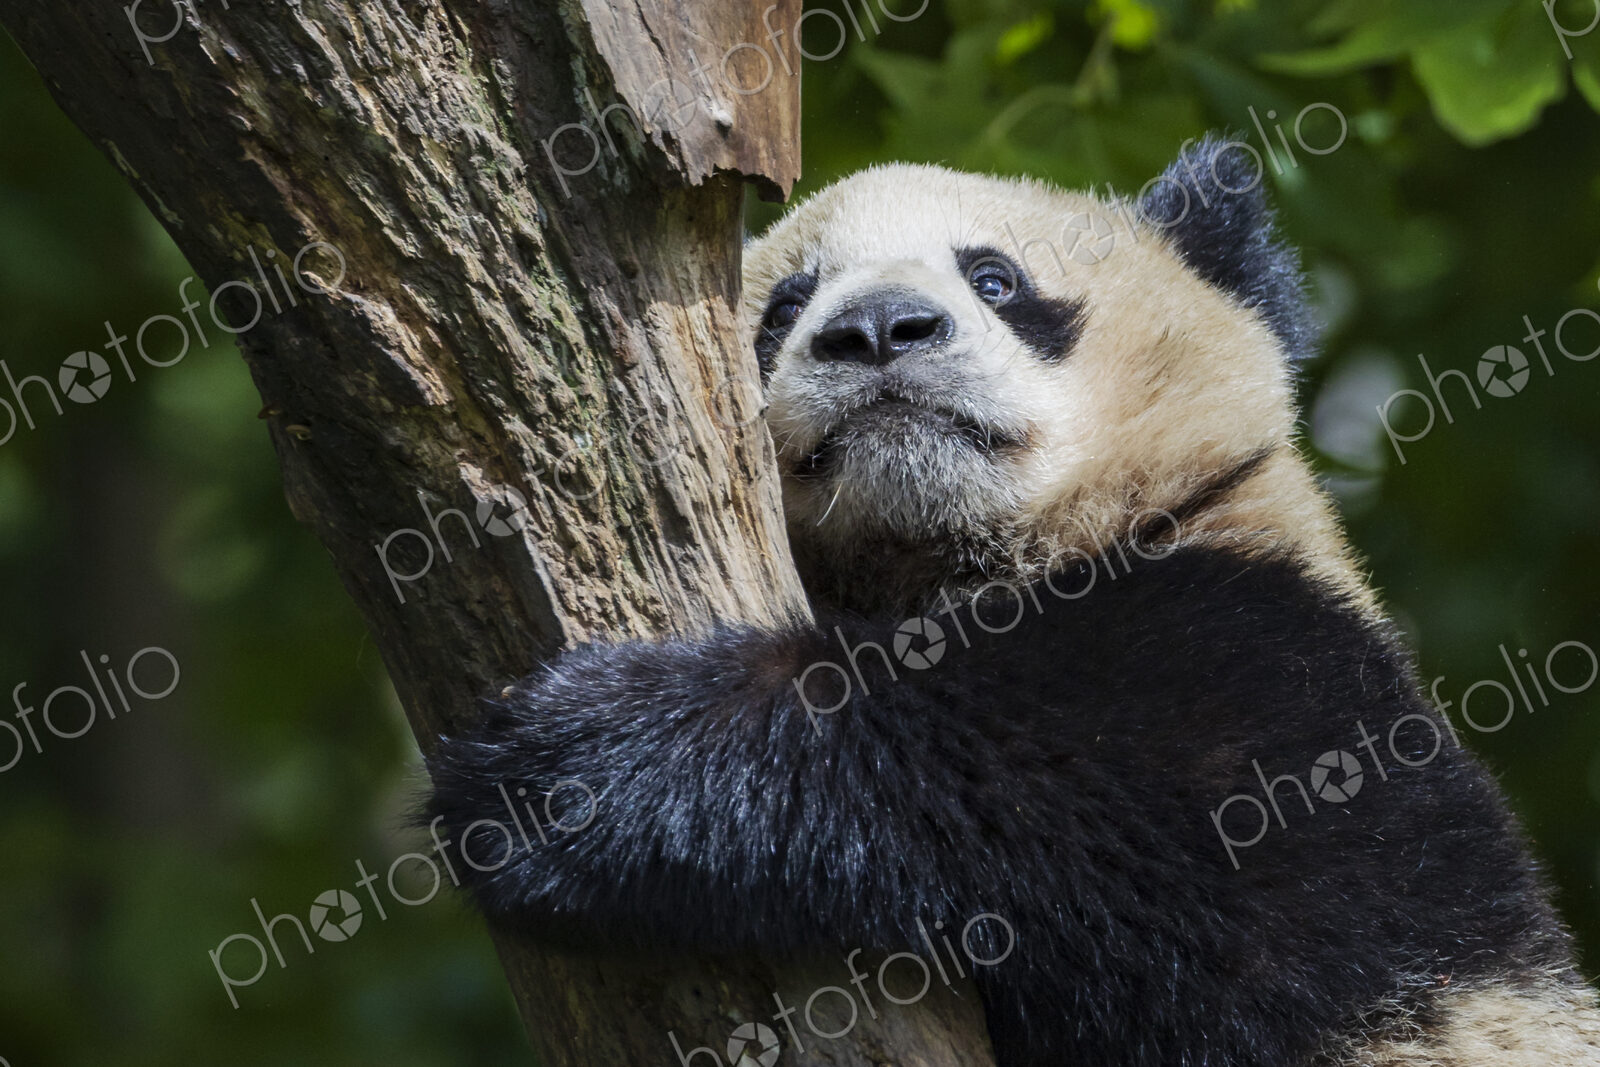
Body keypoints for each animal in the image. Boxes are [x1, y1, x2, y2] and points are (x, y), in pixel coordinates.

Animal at [426, 140, 1600, 1065]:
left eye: (993, 279)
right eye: (786, 304)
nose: (878, 329)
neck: (953, 564)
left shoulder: (1290, 697)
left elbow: (1085, 814)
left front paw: (585, 768)